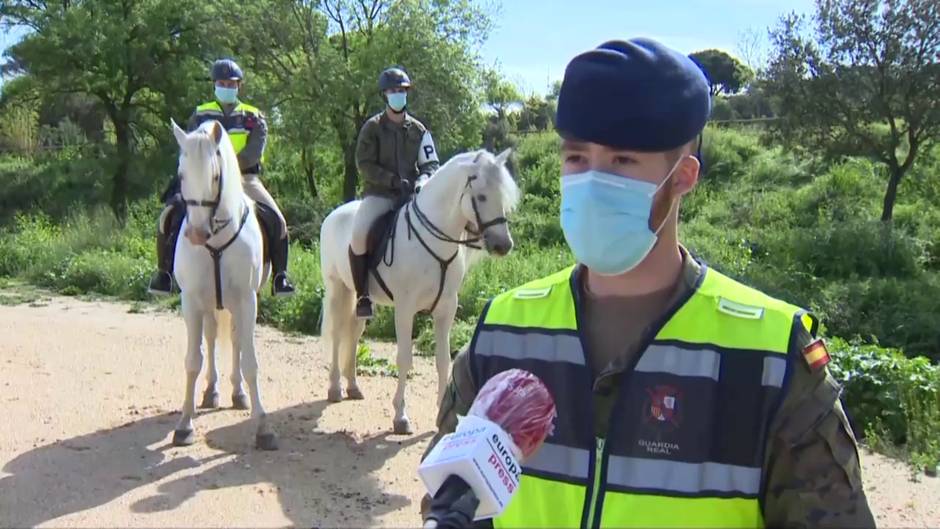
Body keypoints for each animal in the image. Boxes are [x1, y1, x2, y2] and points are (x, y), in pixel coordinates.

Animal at [169, 118, 276, 450]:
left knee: (236, 340)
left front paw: (263, 427)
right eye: (181, 174)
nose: (196, 234)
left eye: (216, 176)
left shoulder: (247, 300)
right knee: (212, 338)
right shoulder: (191, 302)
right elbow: (193, 360)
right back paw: (211, 391)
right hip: (208, 305)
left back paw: (238, 394)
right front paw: (184, 424)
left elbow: (250, 361)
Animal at [320, 146, 516, 432]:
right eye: (481, 196)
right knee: (336, 334)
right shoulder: (405, 309)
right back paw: (334, 387)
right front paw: (400, 417)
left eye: (502, 196)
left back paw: (353, 386)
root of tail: (334, 215)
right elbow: (404, 359)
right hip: (337, 288)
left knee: (353, 333)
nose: (503, 245)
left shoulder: (446, 309)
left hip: (361, 298)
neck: (435, 242)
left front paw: (443, 414)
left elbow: (443, 360)